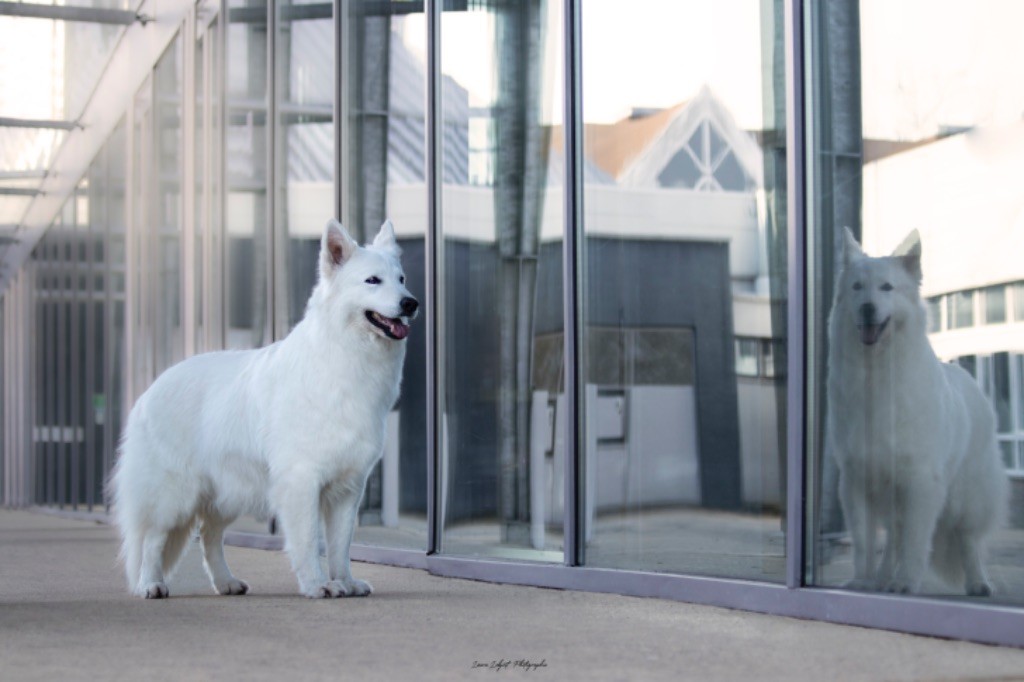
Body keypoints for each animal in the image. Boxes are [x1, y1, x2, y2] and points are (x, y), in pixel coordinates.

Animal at [111, 218, 415, 593]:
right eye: (373, 280)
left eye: (401, 279)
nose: (411, 304)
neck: (344, 357)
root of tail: (150, 389)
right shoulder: (302, 481)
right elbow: (308, 541)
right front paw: (318, 585)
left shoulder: (349, 489)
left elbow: (340, 544)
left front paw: (345, 582)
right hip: (174, 496)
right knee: (154, 539)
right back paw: (150, 585)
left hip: (226, 493)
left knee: (210, 537)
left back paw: (226, 583)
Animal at [827, 225, 1003, 593]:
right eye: (857, 287)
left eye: (886, 287)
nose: (867, 308)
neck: (876, 375)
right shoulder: (857, 480)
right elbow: (865, 541)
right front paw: (862, 581)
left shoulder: (920, 482)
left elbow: (915, 541)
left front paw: (906, 583)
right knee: (893, 538)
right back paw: (881, 579)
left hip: (966, 496)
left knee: (967, 539)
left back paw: (977, 583)